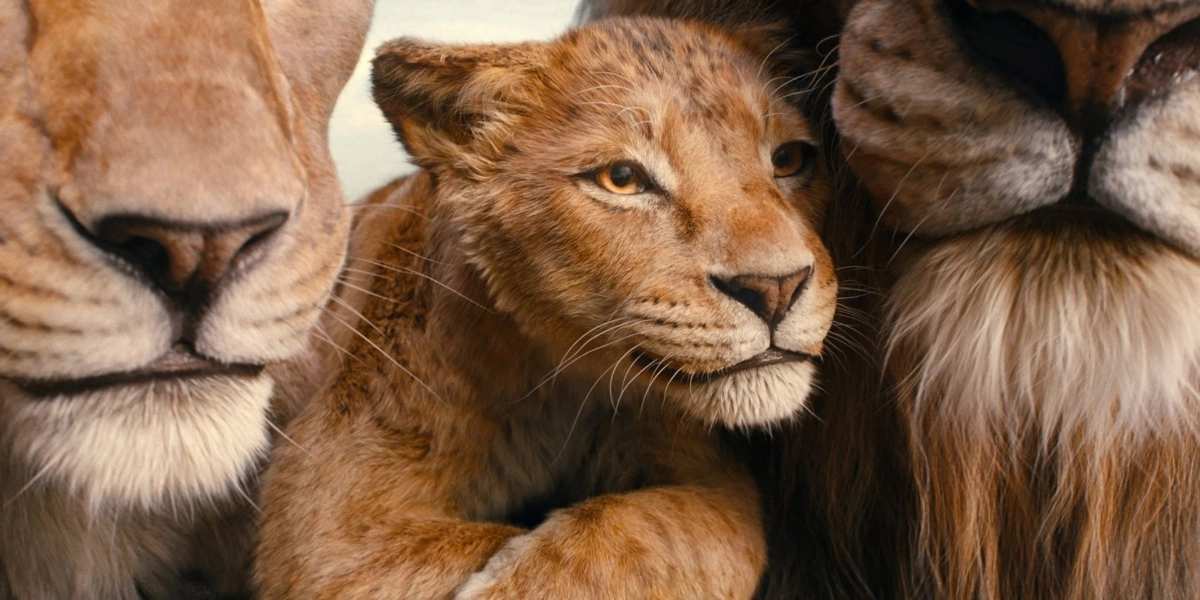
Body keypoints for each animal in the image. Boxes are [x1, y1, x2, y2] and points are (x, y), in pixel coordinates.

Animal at [254, 16, 837, 600]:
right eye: (622, 178)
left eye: (789, 159)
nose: (776, 288)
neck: (556, 383)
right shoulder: (326, 521)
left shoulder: (710, 478)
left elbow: (659, 533)